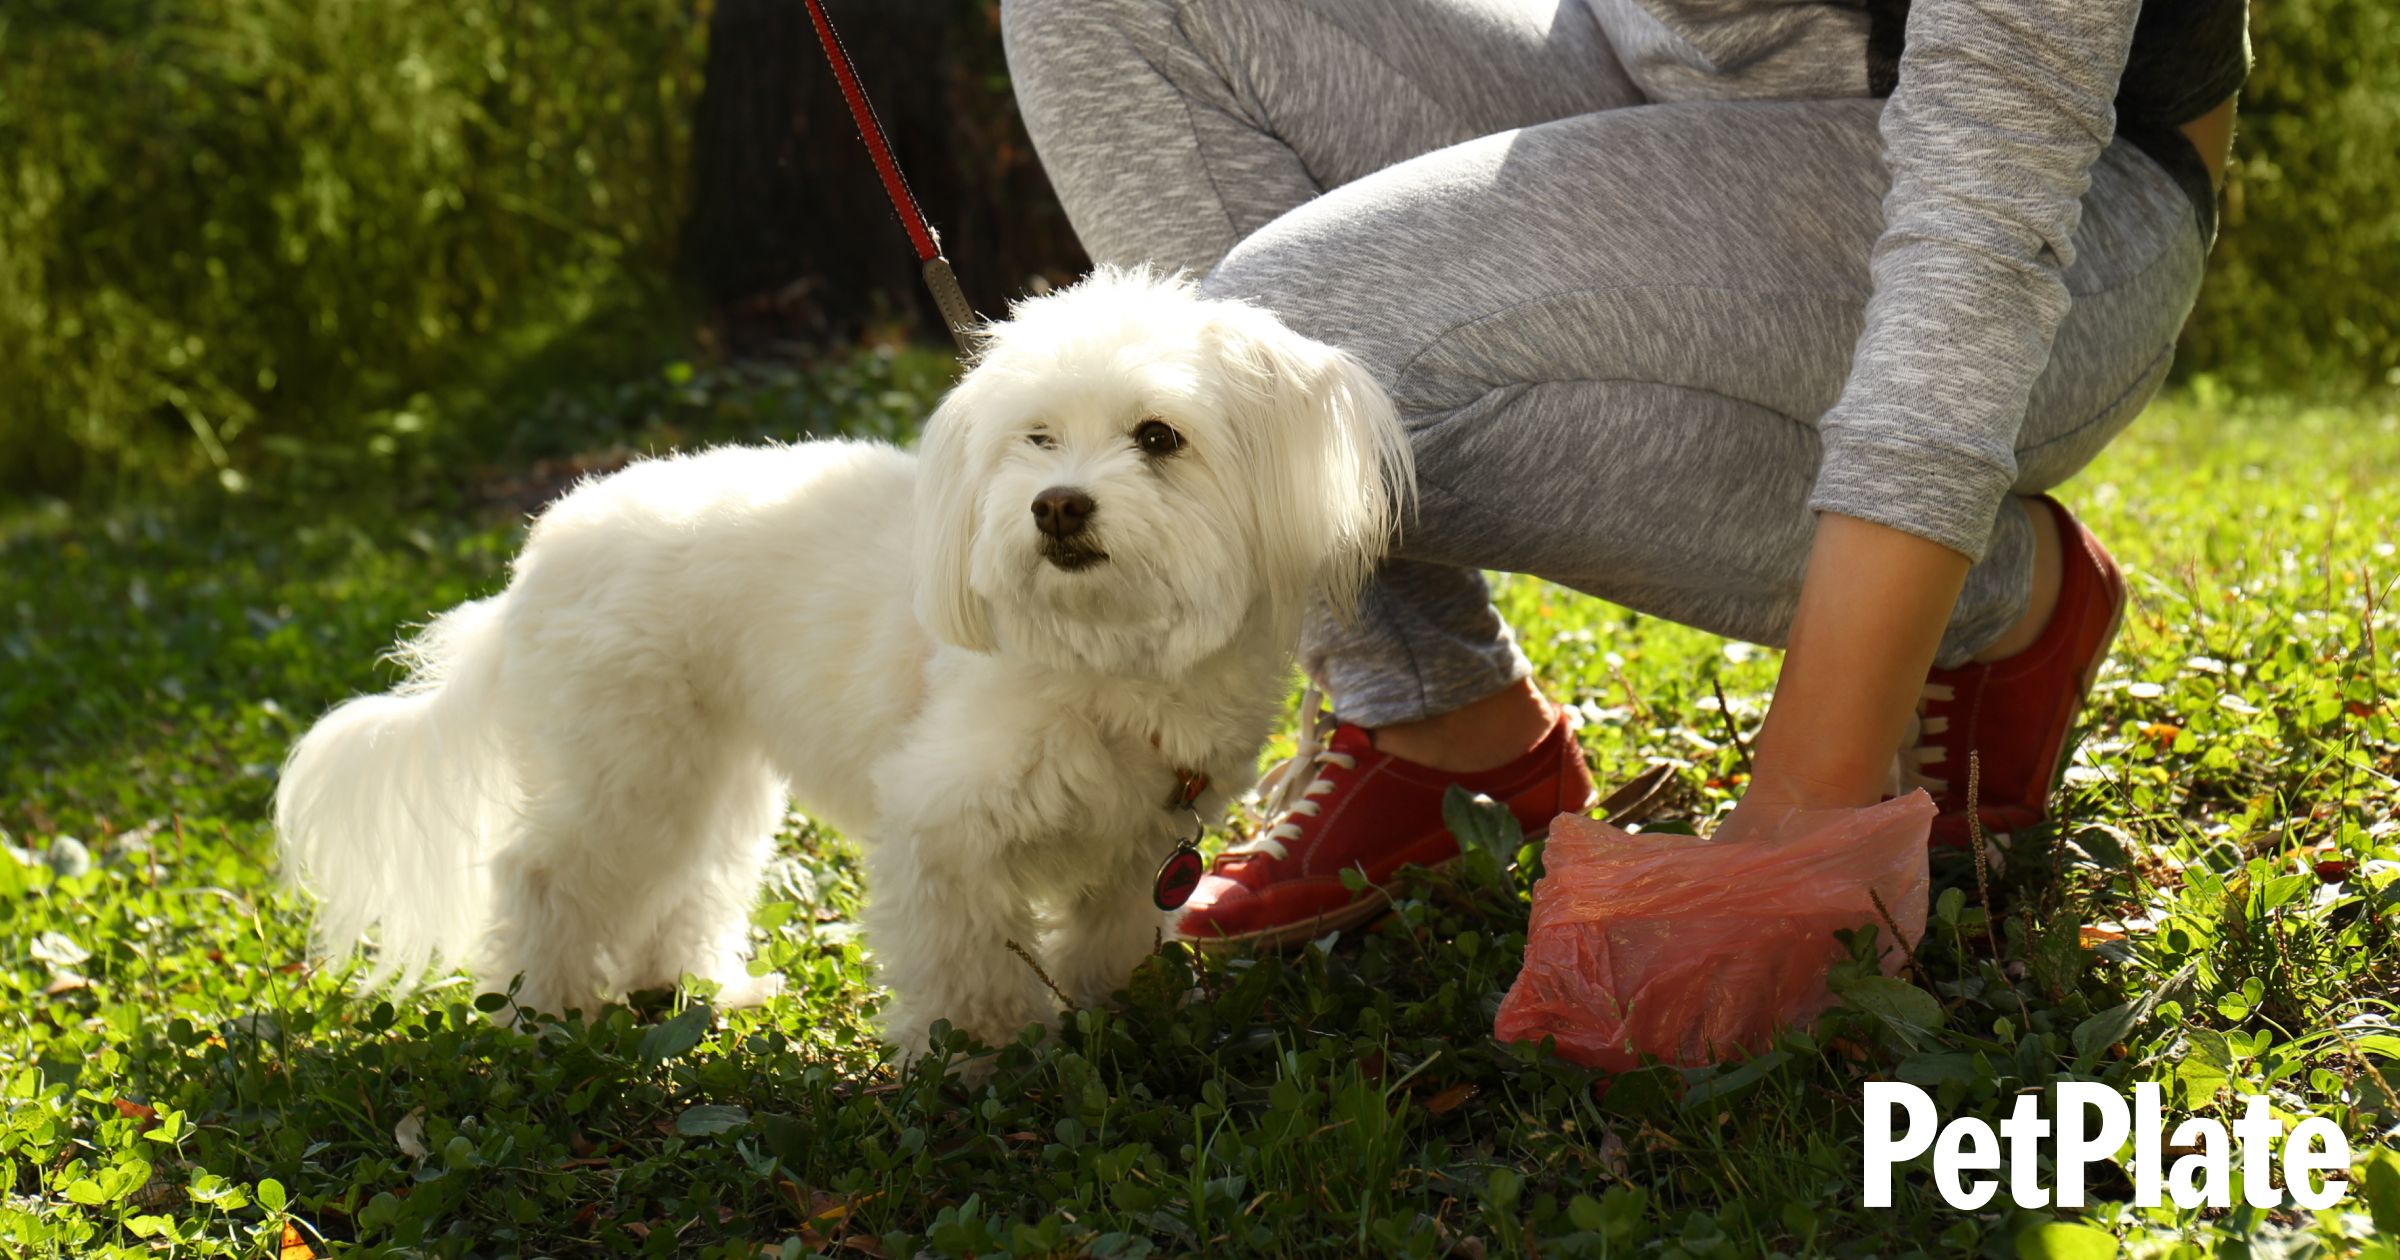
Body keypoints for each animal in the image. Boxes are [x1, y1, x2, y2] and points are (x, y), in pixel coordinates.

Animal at [274, 270, 1411, 1056]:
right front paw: (984, 1057)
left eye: (1160, 436)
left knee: (685, 877)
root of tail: (532, 565)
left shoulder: (1141, 847)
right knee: (543, 872)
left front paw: (1108, 1016)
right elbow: (965, 962)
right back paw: (546, 1014)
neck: (1103, 655)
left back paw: (689, 986)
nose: (1057, 508)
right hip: (627, 764)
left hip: (707, 773)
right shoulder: (943, 826)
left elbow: (1107, 942)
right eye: (1038, 438)